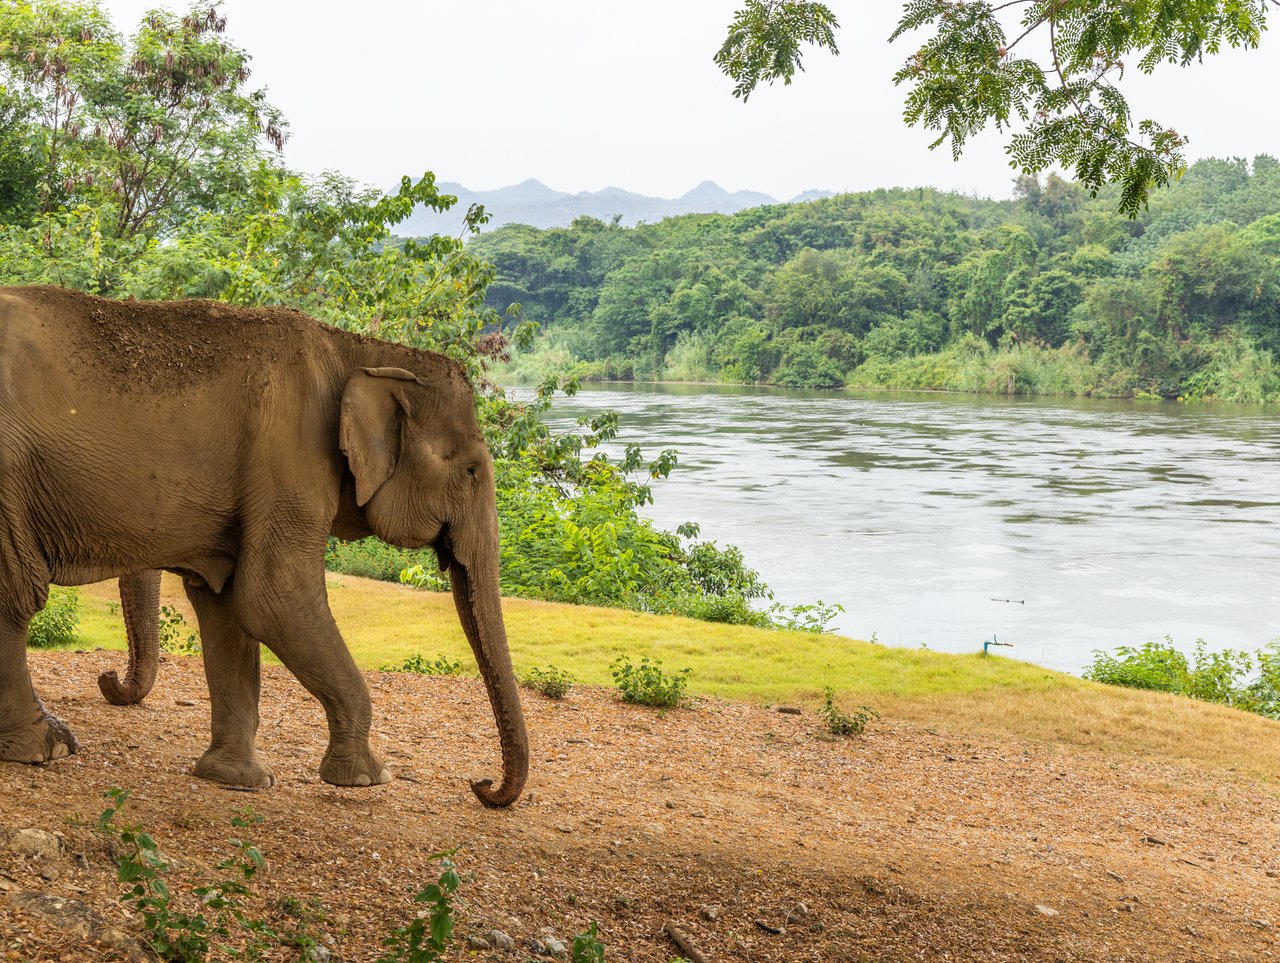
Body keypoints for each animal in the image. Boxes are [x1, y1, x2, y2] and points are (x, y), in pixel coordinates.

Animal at [0, 285, 528, 807]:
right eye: (472, 471)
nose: (481, 785)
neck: (359, 351)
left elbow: (228, 608)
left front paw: (236, 778)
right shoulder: (292, 455)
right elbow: (274, 598)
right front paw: (366, 778)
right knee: (17, 595)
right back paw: (42, 749)